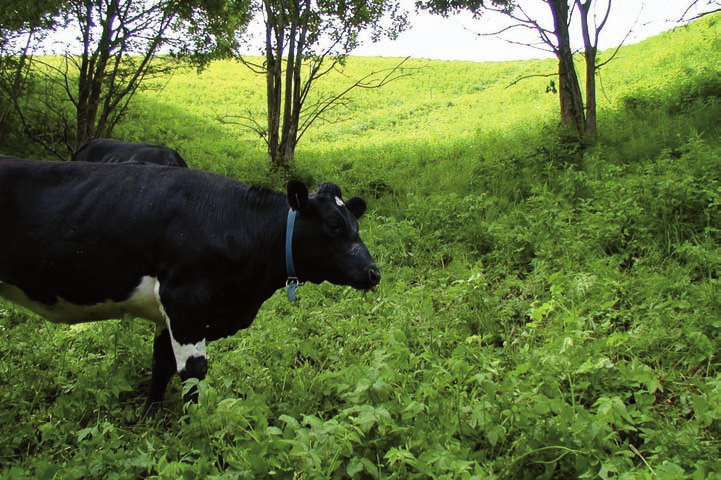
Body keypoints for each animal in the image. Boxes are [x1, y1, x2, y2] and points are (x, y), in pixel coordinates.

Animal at [0, 158, 382, 416]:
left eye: (355, 223)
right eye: (334, 225)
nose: (373, 272)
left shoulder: (169, 312)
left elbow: (161, 364)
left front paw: (151, 415)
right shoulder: (186, 300)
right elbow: (193, 371)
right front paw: (196, 426)